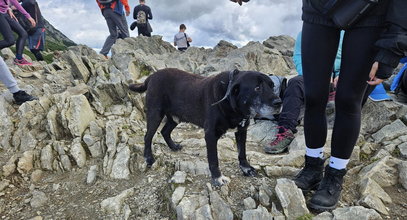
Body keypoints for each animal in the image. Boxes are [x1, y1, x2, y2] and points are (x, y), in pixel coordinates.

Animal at [129, 68, 282, 186]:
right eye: (257, 88)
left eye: (272, 86)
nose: (279, 102)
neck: (229, 101)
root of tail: (151, 76)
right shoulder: (210, 135)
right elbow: (214, 159)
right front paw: (218, 178)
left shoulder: (241, 131)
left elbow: (242, 153)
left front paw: (246, 169)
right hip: (155, 114)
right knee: (148, 136)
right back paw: (148, 158)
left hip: (175, 118)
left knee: (165, 131)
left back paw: (173, 146)